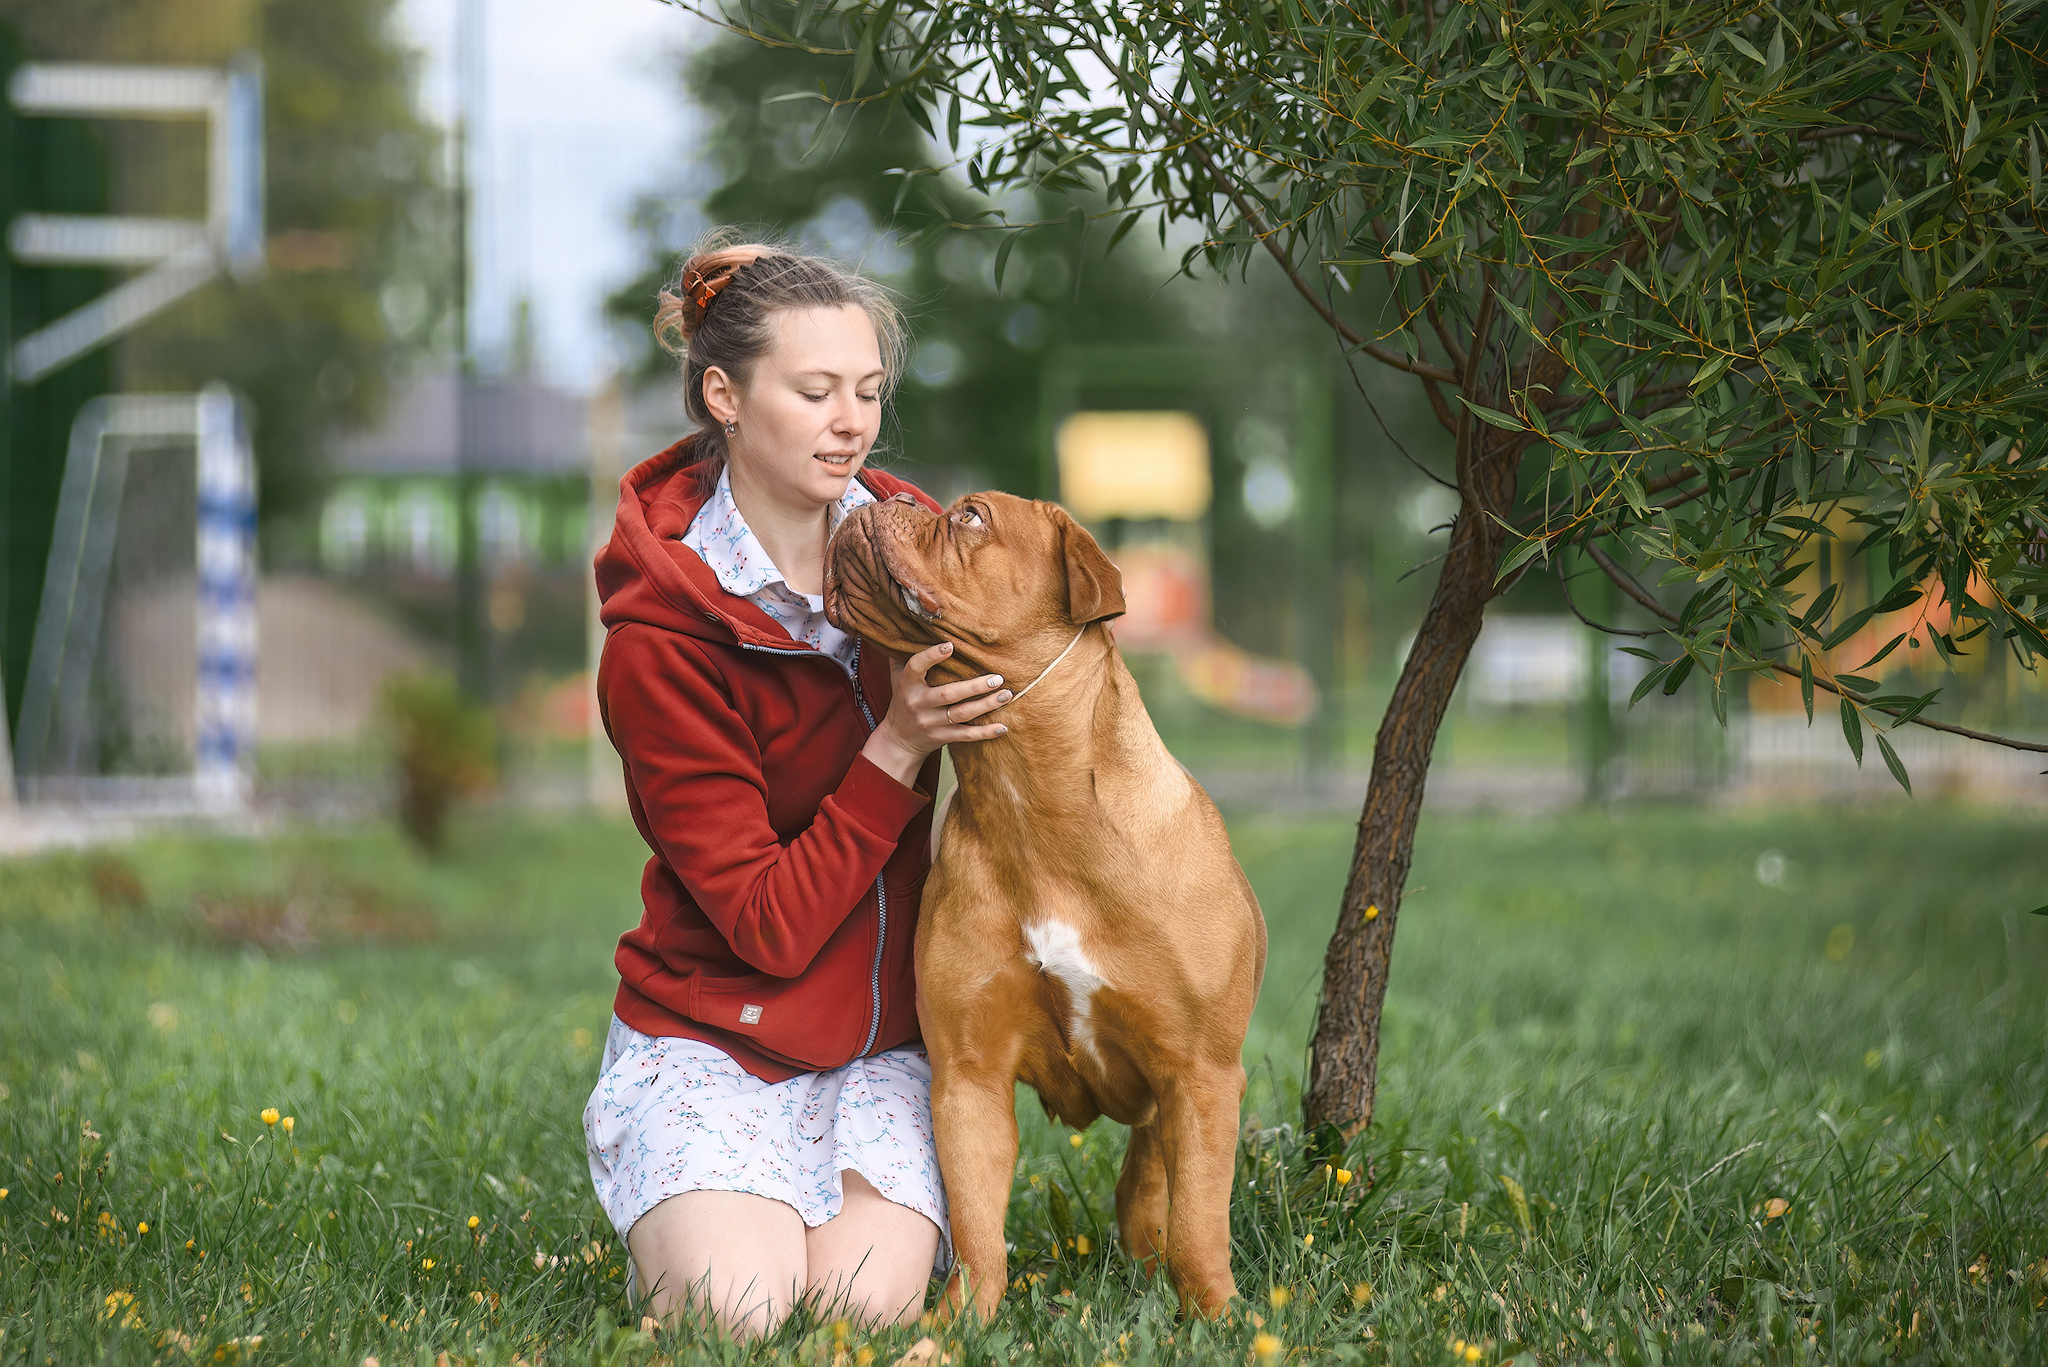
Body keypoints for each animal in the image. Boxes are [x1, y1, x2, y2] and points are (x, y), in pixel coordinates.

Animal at [819, 489, 1261, 1311]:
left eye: (969, 516)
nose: (881, 497)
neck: (1021, 789)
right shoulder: (969, 1074)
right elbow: (976, 1225)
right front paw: (962, 1320)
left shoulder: (1202, 1073)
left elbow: (1197, 1223)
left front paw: (1220, 1315)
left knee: (1151, 1187)